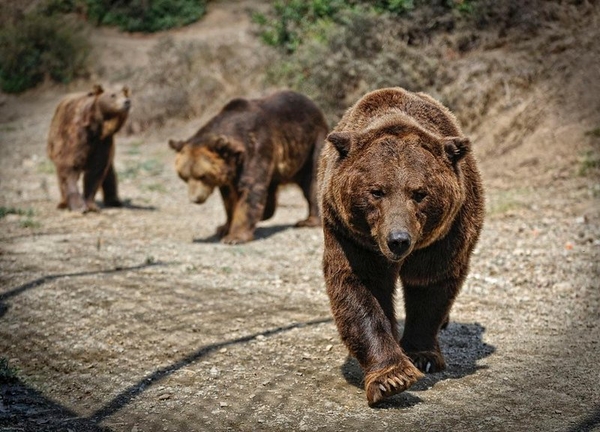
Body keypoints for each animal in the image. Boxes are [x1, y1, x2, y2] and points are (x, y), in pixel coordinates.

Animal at [46, 83, 131, 212]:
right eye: (113, 95)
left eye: (125, 94)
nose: (127, 102)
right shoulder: (76, 138)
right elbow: (69, 166)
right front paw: (79, 206)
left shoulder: (102, 143)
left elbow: (96, 171)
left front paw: (91, 205)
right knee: (60, 175)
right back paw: (63, 203)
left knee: (110, 173)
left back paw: (114, 201)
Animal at [168, 89, 328, 245]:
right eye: (184, 177)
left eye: (202, 176)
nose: (195, 199)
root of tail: (315, 107)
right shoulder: (230, 172)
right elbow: (229, 198)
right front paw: (224, 227)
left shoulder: (257, 149)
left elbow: (249, 191)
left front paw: (235, 237)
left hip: (312, 145)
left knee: (312, 182)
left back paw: (308, 221)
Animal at [318, 87, 482, 404]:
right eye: (376, 191)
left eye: (419, 193)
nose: (398, 240)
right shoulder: (350, 234)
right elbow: (360, 288)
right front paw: (391, 377)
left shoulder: (447, 233)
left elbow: (430, 284)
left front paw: (422, 356)